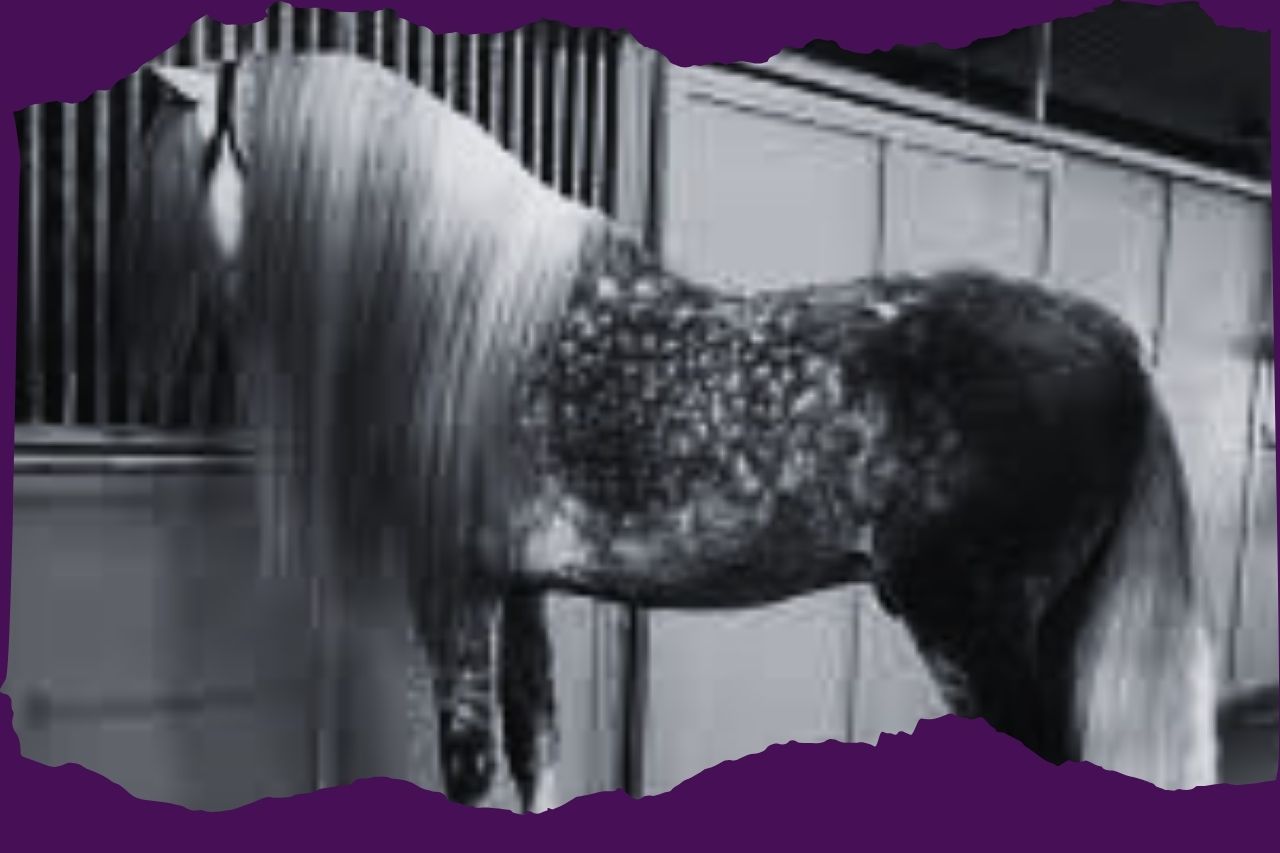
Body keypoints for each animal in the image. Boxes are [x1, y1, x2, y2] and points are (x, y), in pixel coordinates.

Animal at [115, 50, 1219, 811]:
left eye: (169, 168)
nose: (144, 342)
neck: (492, 319)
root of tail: (1113, 343)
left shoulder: (455, 590)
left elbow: (471, 763)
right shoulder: (522, 586)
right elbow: (537, 746)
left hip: (974, 628)